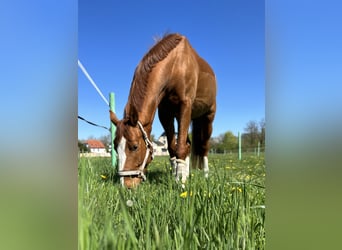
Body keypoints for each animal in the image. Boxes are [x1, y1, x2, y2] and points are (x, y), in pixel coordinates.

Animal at [109, 33, 216, 188]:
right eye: (115, 146)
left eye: (134, 146)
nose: (126, 185)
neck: (175, 65)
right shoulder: (165, 114)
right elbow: (172, 148)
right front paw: (177, 178)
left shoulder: (185, 105)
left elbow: (180, 148)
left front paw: (180, 184)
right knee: (188, 145)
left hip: (208, 117)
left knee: (204, 146)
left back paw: (205, 175)